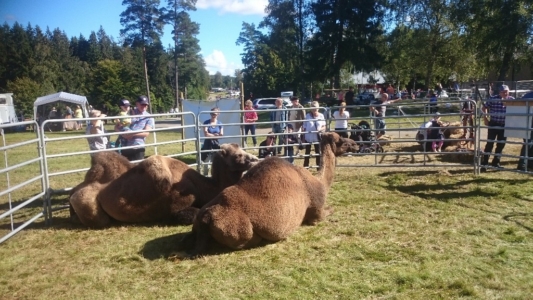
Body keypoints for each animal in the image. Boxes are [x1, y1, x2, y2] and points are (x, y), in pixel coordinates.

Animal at [69, 144, 258, 229]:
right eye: (238, 155)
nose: (254, 159)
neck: (204, 186)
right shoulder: (178, 206)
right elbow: (191, 214)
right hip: (90, 207)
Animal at [184, 132, 358, 256]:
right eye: (342, 140)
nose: (355, 145)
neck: (320, 182)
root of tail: (206, 218)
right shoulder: (317, 212)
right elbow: (327, 211)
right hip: (242, 231)